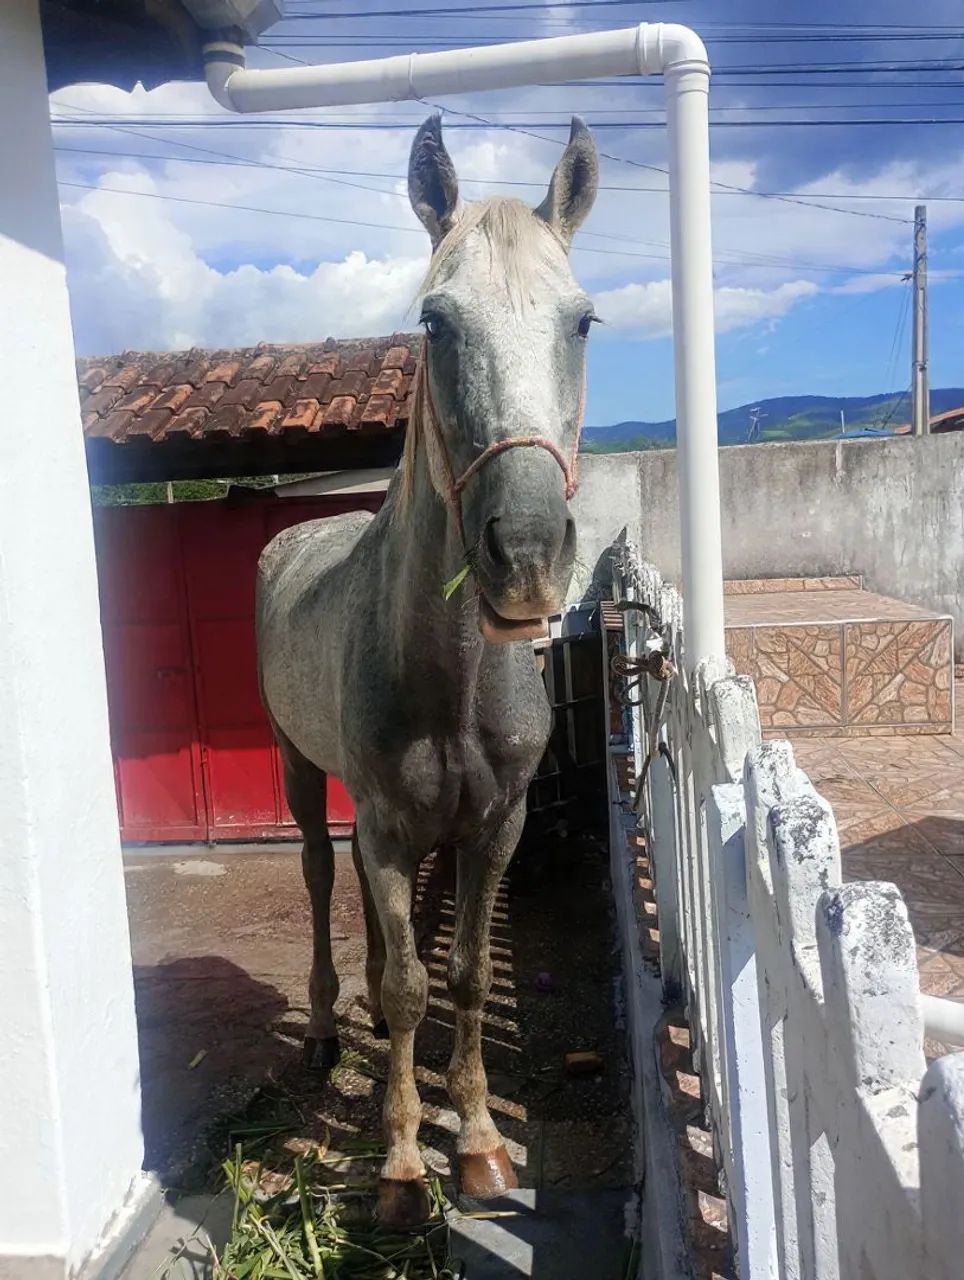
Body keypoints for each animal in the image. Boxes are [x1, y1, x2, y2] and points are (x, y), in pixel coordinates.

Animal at [256, 112, 598, 1228]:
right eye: (436, 324)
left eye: (582, 323)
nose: (525, 555)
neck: (451, 681)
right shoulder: (389, 823)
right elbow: (411, 987)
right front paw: (405, 1167)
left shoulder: (494, 824)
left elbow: (461, 975)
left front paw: (481, 1143)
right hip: (304, 775)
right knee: (324, 872)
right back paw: (329, 1027)